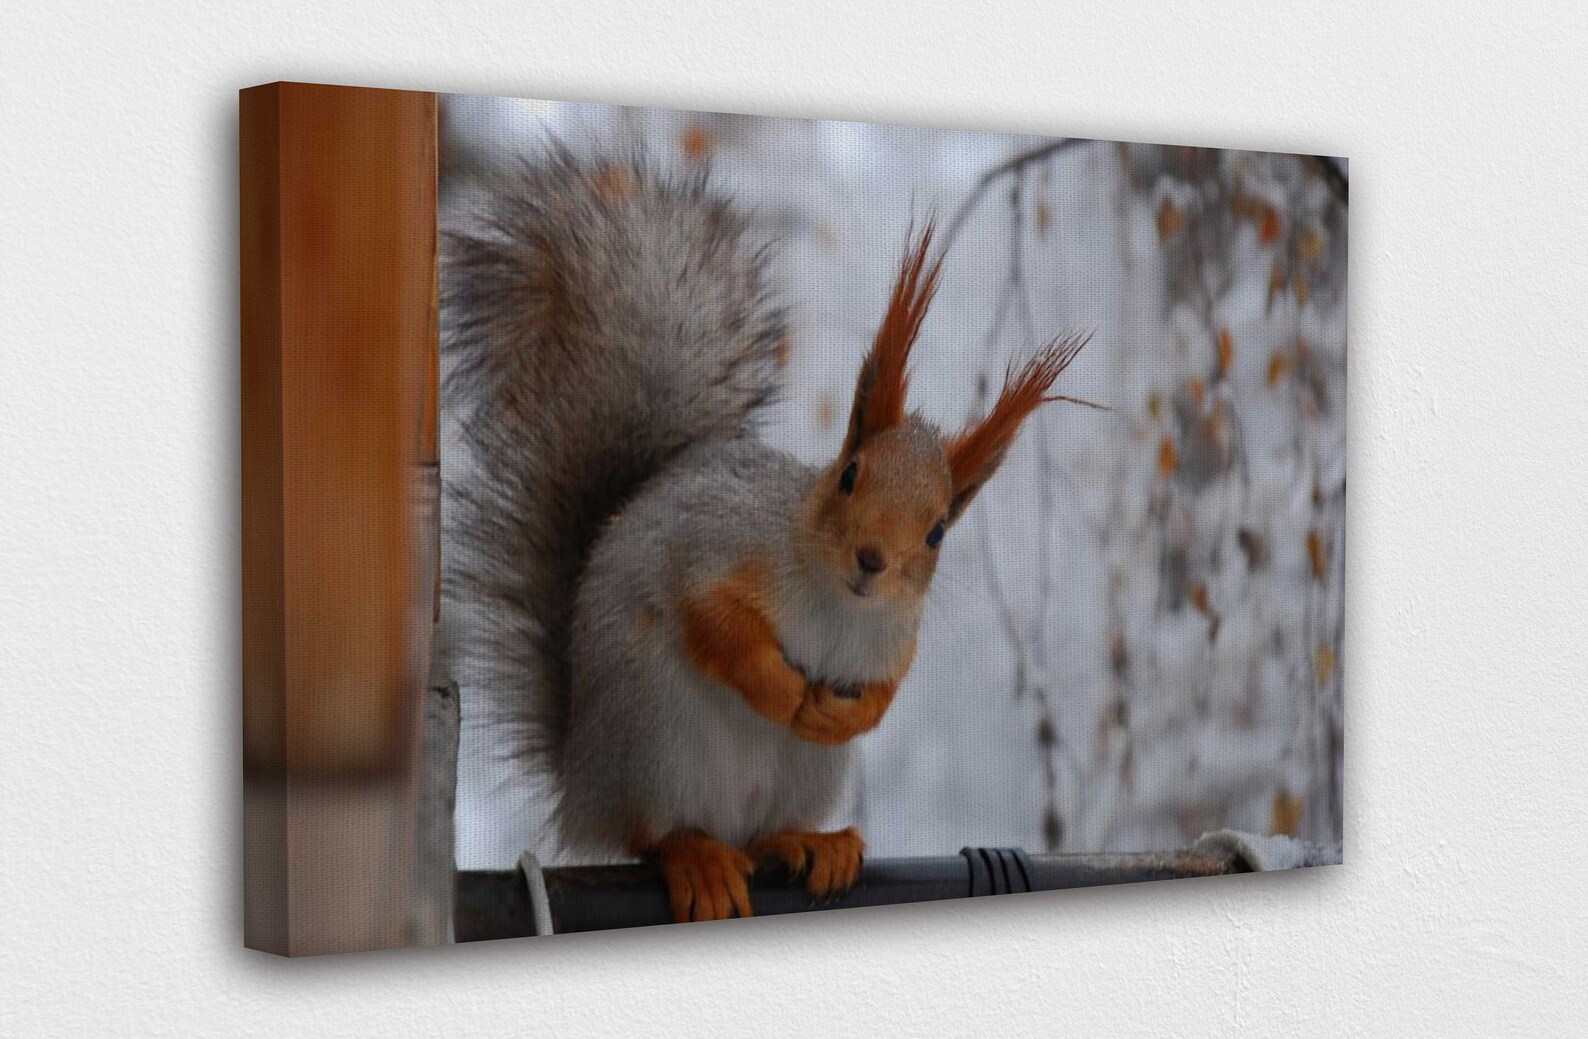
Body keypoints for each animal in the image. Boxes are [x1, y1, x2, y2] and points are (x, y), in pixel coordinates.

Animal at [442, 148, 1087, 924]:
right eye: (849, 475)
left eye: (936, 531)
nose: (872, 560)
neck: (841, 603)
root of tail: (580, 780)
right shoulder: (715, 548)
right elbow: (712, 621)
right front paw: (780, 691)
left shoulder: (895, 637)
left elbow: (887, 687)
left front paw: (842, 712)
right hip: (651, 733)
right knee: (650, 831)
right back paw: (694, 854)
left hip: (800, 773)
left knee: (764, 831)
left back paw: (809, 841)